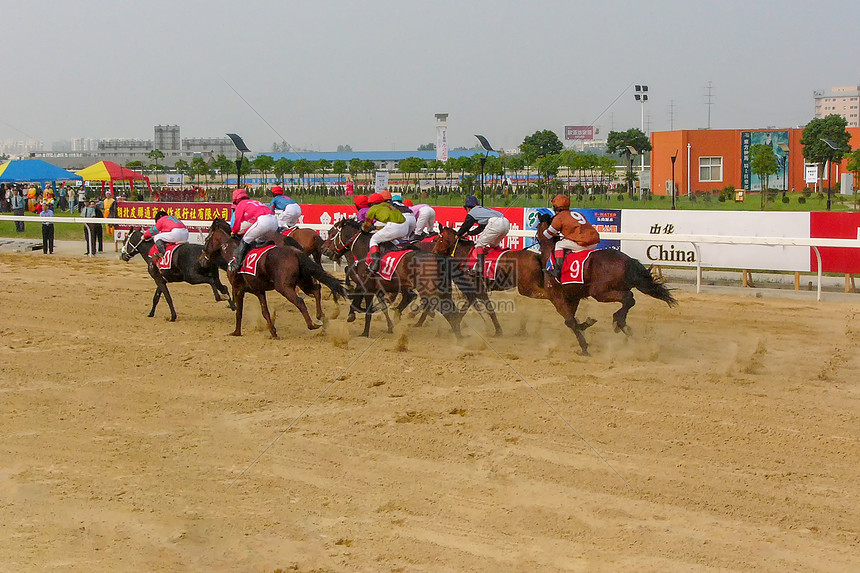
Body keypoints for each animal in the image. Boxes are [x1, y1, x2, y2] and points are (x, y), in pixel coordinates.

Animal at [201, 217, 346, 338]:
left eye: (206, 240)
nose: (201, 260)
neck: (233, 252)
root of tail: (296, 253)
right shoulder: (259, 290)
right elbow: (265, 312)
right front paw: (273, 332)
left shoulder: (238, 288)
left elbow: (239, 311)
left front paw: (236, 332)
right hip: (303, 280)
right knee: (316, 289)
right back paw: (321, 317)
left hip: (283, 287)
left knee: (300, 301)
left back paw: (312, 324)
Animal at [532, 210, 680, 354]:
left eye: (537, 228)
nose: (536, 238)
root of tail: (628, 261)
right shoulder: (573, 296)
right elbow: (572, 319)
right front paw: (586, 325)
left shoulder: (556, 297)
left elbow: (569, 321)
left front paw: (584, 347)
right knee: (630, 299)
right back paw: (622, 324)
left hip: (599, 292)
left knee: (628, 298)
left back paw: (618, 321)